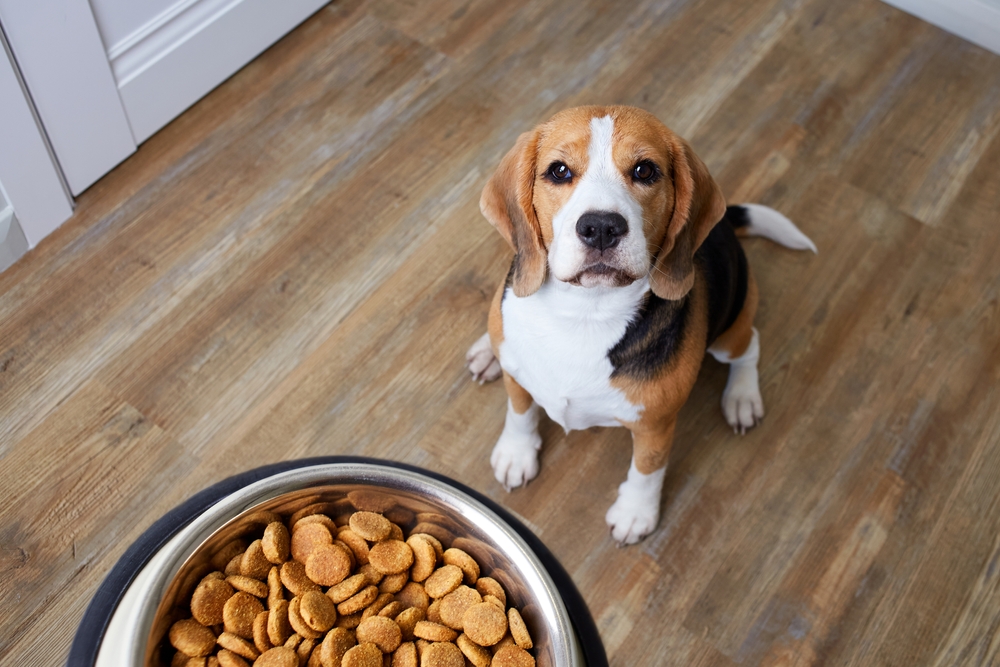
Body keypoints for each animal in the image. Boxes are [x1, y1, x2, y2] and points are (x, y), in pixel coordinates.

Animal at [464, 105, 816, 544]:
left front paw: (635, 513)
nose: (600, 227)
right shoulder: (518, 373)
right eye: (559, 171)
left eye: (645, 170)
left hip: (732, 329)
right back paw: (485, 352)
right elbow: (520, 411)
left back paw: (742, 397)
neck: (584, 314)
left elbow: (648, 469)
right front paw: (516, 452)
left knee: (749, 346)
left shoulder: (655, 424)